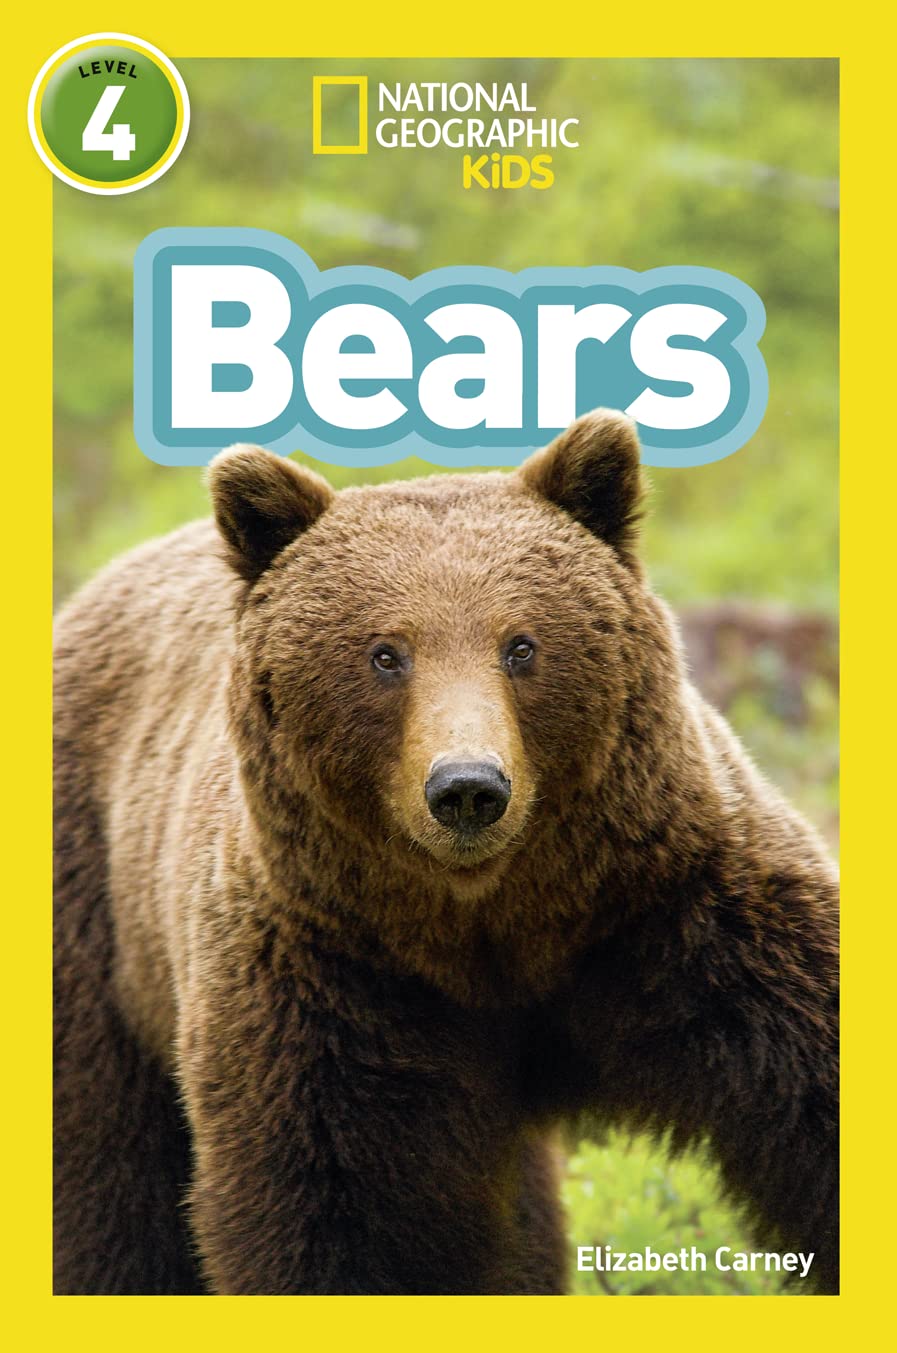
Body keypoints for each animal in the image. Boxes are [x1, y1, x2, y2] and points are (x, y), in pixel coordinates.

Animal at [53, 409, 839, 1295]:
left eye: (521, 645)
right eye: (384, 653)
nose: (467, 786)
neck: (487, 926)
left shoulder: (685, 914)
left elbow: (813, 1085)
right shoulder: (328, 984)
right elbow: (330, 1214)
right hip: (94, 919)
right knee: (109, 1172)